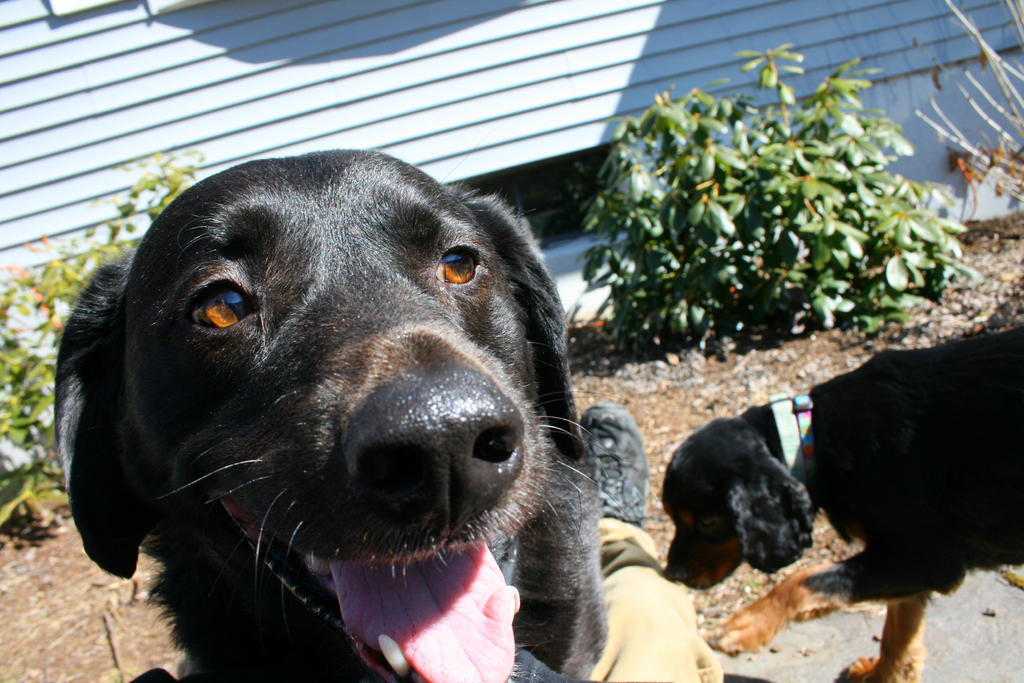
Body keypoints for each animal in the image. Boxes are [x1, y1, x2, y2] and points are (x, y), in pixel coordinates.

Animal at [659, 327, 1024, 679]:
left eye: (707, 522)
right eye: (671, 516)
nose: (672, 573)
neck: (811, 437)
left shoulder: (929, 559)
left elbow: (802, 581)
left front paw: (744, 627)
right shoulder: (907, 561)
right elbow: (899, 633)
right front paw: (881, 675)